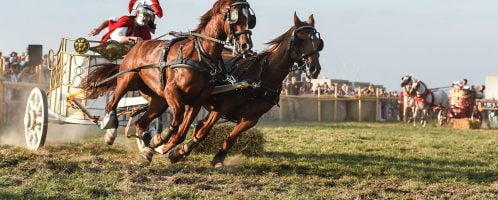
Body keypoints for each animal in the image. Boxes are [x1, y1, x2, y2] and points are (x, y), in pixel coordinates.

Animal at [81, 0, 255, 159]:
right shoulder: (172, 91)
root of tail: (136, 47)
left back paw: (146, 148)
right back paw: (110, 130)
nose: (246, 45)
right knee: (112, 103)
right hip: (127, 80)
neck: (200, 54)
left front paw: (160, 144)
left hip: (159, 100)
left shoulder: (197, 100)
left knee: (140, 123)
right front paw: (160, 138)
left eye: (250, 18)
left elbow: (182, 132)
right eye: (235, 17)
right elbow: (177, 117)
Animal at [165, 13, 324, 168]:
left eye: (318, 42)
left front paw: (218, 159)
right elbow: (204, 130)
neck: (260, 78)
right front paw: (177, 152)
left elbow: (230, 138)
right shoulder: (221, 108)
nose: (314, 69)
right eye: (300, 38)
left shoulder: (251, 118)